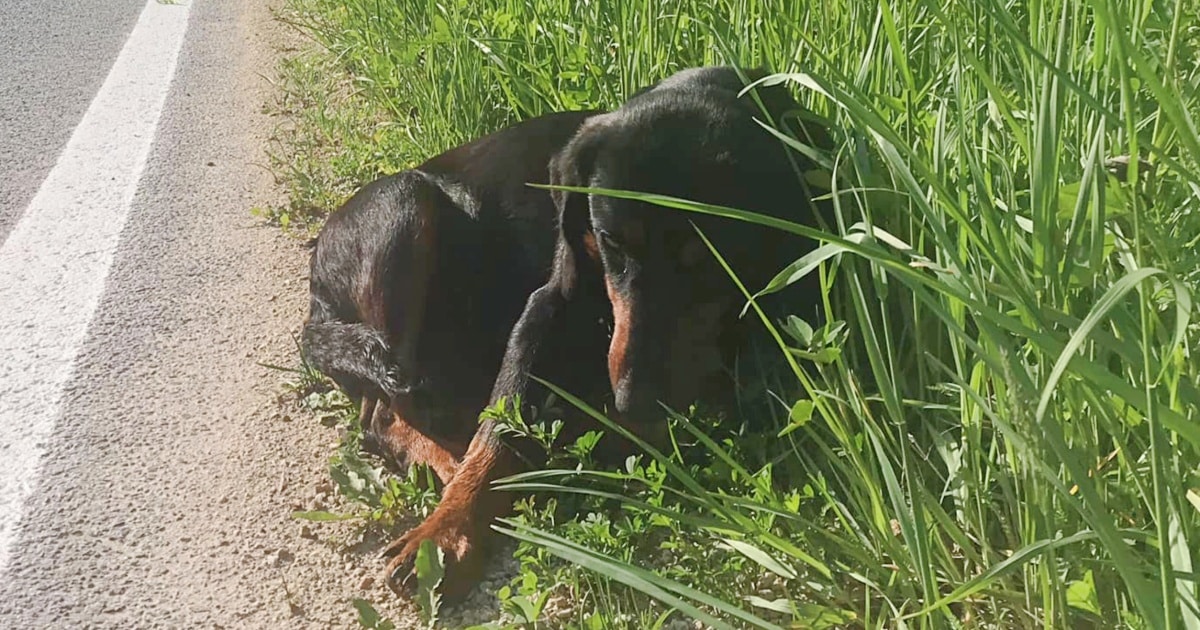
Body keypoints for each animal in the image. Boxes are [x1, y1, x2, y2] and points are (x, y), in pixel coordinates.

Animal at [302, 65, 825, 600]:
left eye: (710, 257)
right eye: (611, 240)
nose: (633, 402)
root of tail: (316, 301)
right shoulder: (549, 302)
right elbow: (500, 429)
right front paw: (447, 530)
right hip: (404, 208)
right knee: (383, 411)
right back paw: (448, 468)